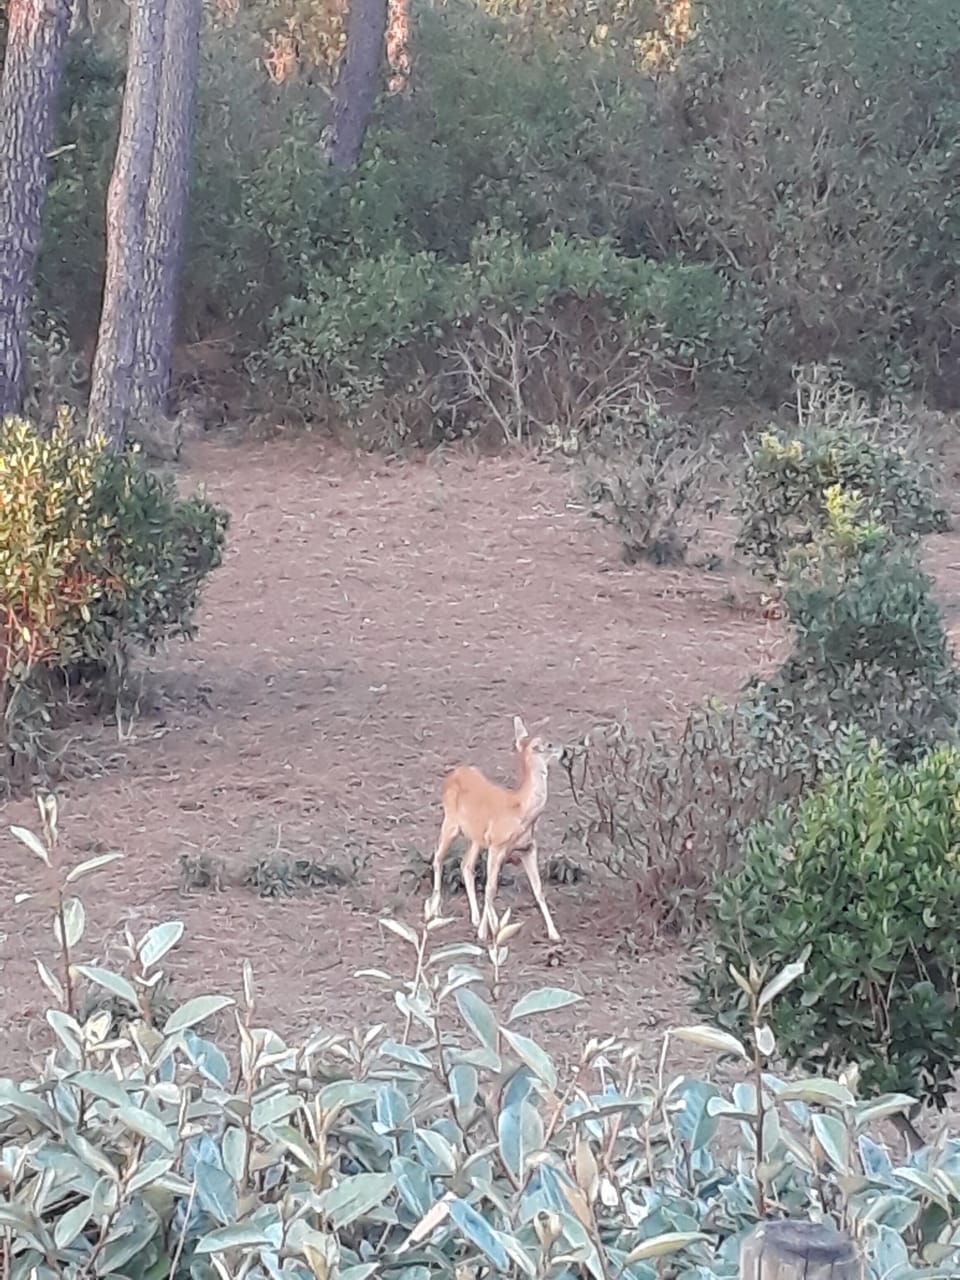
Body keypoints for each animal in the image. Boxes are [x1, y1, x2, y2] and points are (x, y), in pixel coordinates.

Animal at [427, 716, 564, 943]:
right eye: (547, 745)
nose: (564, 750)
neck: (521, 811)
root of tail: (452, 774)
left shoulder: (527, 847)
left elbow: (538, 889)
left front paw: (554, 933)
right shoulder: (497, 845)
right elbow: (491, 889)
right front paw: (483, 934)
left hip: (476, 838)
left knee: (466, 865)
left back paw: (478, 918)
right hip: (451, 823)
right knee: (438, 858)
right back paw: (436, 910)